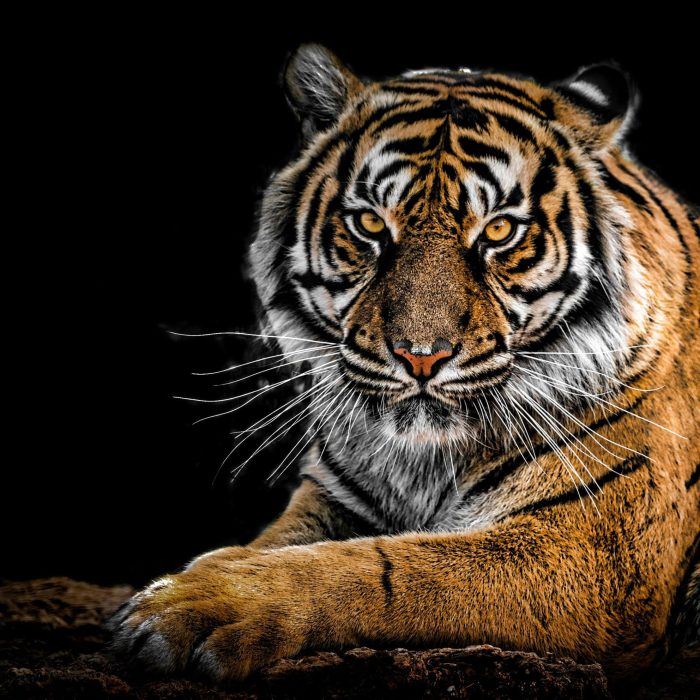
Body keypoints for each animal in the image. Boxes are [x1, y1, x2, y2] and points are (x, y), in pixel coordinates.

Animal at [111, 44, 699, 686]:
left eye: (499, 230)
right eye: (370, 223)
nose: (422, 356)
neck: (422, 461)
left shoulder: (596, 556)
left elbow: (389, 568)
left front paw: (194, 604)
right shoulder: (333, 497)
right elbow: (280, 542)